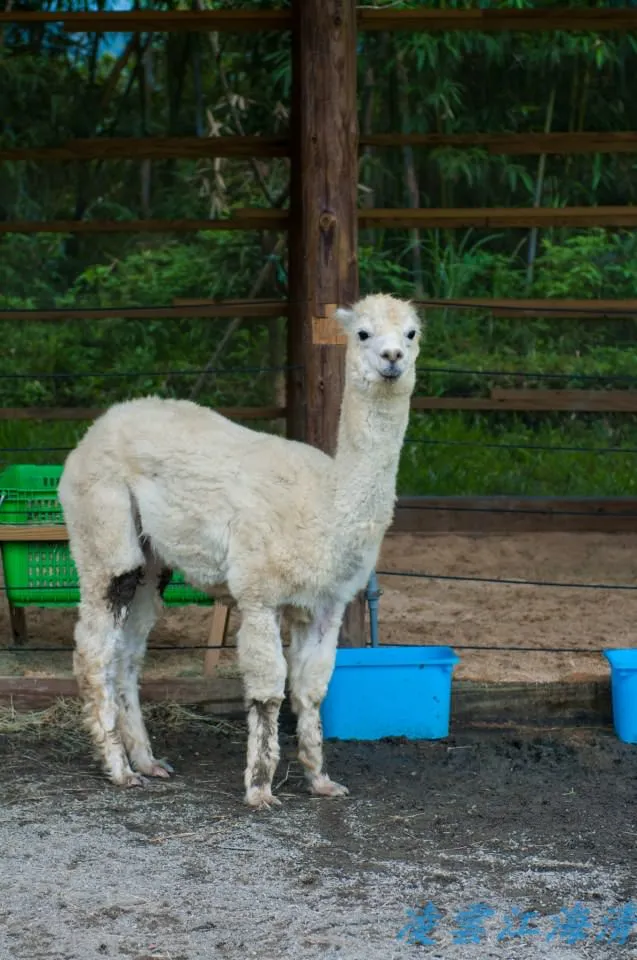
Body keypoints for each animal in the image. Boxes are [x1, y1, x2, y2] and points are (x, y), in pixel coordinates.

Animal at [58, 293, 422, 809]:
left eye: (411, 333)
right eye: (363, 333)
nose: (392, 359)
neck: (325, 502)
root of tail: (103, 422)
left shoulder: (326, 604)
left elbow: (312, 689)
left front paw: (320, 780)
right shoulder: (259, 595)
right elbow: (268, 691)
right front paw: (259, 788)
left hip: (152, 561)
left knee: (128, 652)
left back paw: (147, 761)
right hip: (103, 528)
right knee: (93, 649)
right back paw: (118, 769)